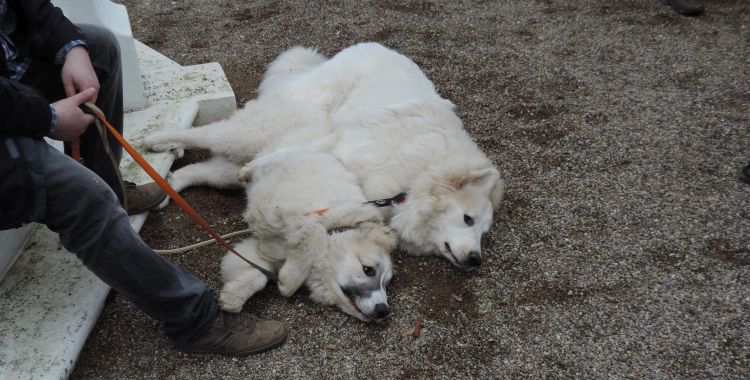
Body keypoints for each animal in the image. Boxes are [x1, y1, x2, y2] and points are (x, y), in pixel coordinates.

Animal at [148, 43, 506, 272]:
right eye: (468, 219)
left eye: (483, 234)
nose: (476, 260)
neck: (419, 175)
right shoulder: (336, 149)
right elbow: (286, 159)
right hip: (258, 130)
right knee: (208, 134)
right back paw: (155, 141)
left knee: (199, 170)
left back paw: (165, 188)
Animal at [220, 150, 400, 322]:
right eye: (368, 270)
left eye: (386, 284)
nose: (383, 310)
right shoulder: (292, 215)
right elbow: (315, 232)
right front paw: (288, 282)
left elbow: (260, 273)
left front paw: (233, 296)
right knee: (272, 156)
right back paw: (245, 171)